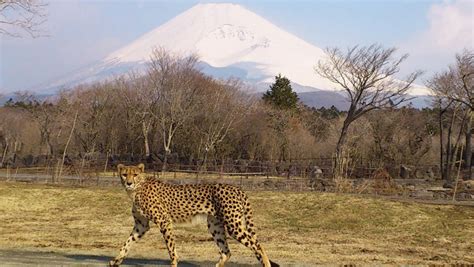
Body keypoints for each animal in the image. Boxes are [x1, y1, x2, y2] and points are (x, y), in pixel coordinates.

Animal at [108, 163, 278, 267]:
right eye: (124, 174)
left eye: (135, 174)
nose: (129, 183)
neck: (137, 189)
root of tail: (237, 188)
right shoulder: (141, 225)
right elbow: (127, 243)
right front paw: (115, 261)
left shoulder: (164, 221)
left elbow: (171, 247)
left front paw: (174, 263)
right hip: (215, 225)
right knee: (227, 252)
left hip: (233, 225)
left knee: (257, 245)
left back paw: (266, 263)